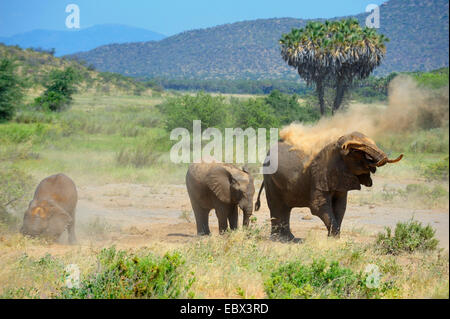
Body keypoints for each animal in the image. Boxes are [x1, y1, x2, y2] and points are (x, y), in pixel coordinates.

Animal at [255, 131, 402, 241]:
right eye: (356, 152)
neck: (334, 146)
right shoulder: (319, 174)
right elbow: (318, 206)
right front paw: (334, 238)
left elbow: (340, 206)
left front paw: (333, 238)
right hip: (270, 178)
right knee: (277, 205)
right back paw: (280, 239)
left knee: (284, 208)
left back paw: (289, 238)